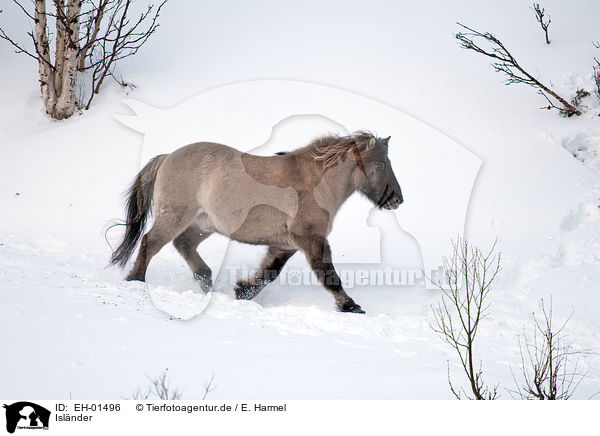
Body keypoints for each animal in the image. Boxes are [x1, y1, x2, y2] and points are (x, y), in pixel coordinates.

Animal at [112, 130, 404, 314]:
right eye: (380, 164)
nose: (397, 199)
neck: (316, 183)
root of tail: (167, 158)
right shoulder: (311, 238)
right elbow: (328, 275)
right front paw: (351, 306)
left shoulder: (287, 244)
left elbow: (269, 272)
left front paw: (242, 291)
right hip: (175, 216)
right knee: (150, 243)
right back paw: (136, 280)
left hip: (202, 225)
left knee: (183, 244)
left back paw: (207, 284)